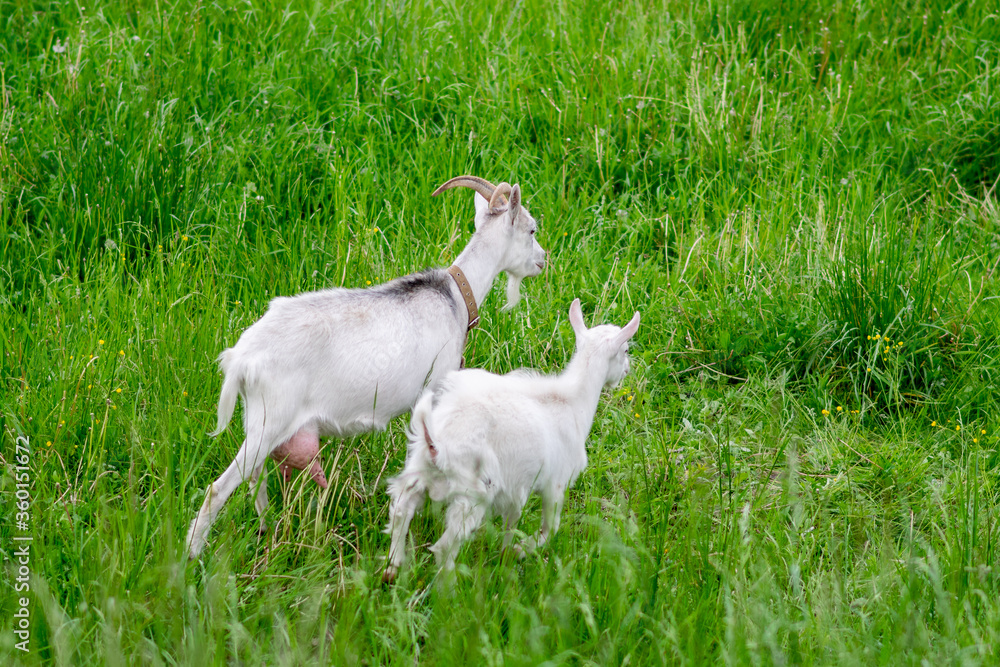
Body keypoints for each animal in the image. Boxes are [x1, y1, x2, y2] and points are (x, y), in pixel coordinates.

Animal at [186, 176, 547, 559]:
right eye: (532, 229)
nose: (544, 260)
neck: (456, 297)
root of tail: (241, 358)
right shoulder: (434, 389)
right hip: (270, 422)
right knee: (218, 489)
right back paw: (194, 553)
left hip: (258, 421)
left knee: (257, 480)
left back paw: (268, 531)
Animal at [382, 298, 640, 582]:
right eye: (626, 349)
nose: (626, 371)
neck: (572, 402)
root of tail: (436, 444)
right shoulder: (555, 482)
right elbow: (551, 527)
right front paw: (521, 550)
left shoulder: (518, 487)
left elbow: (512, 523)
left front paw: (507, 555)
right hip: (472, 492)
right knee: (444, 546)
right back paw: (449, 585)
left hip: (417, 471)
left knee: (401, 511)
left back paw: (392, 568)